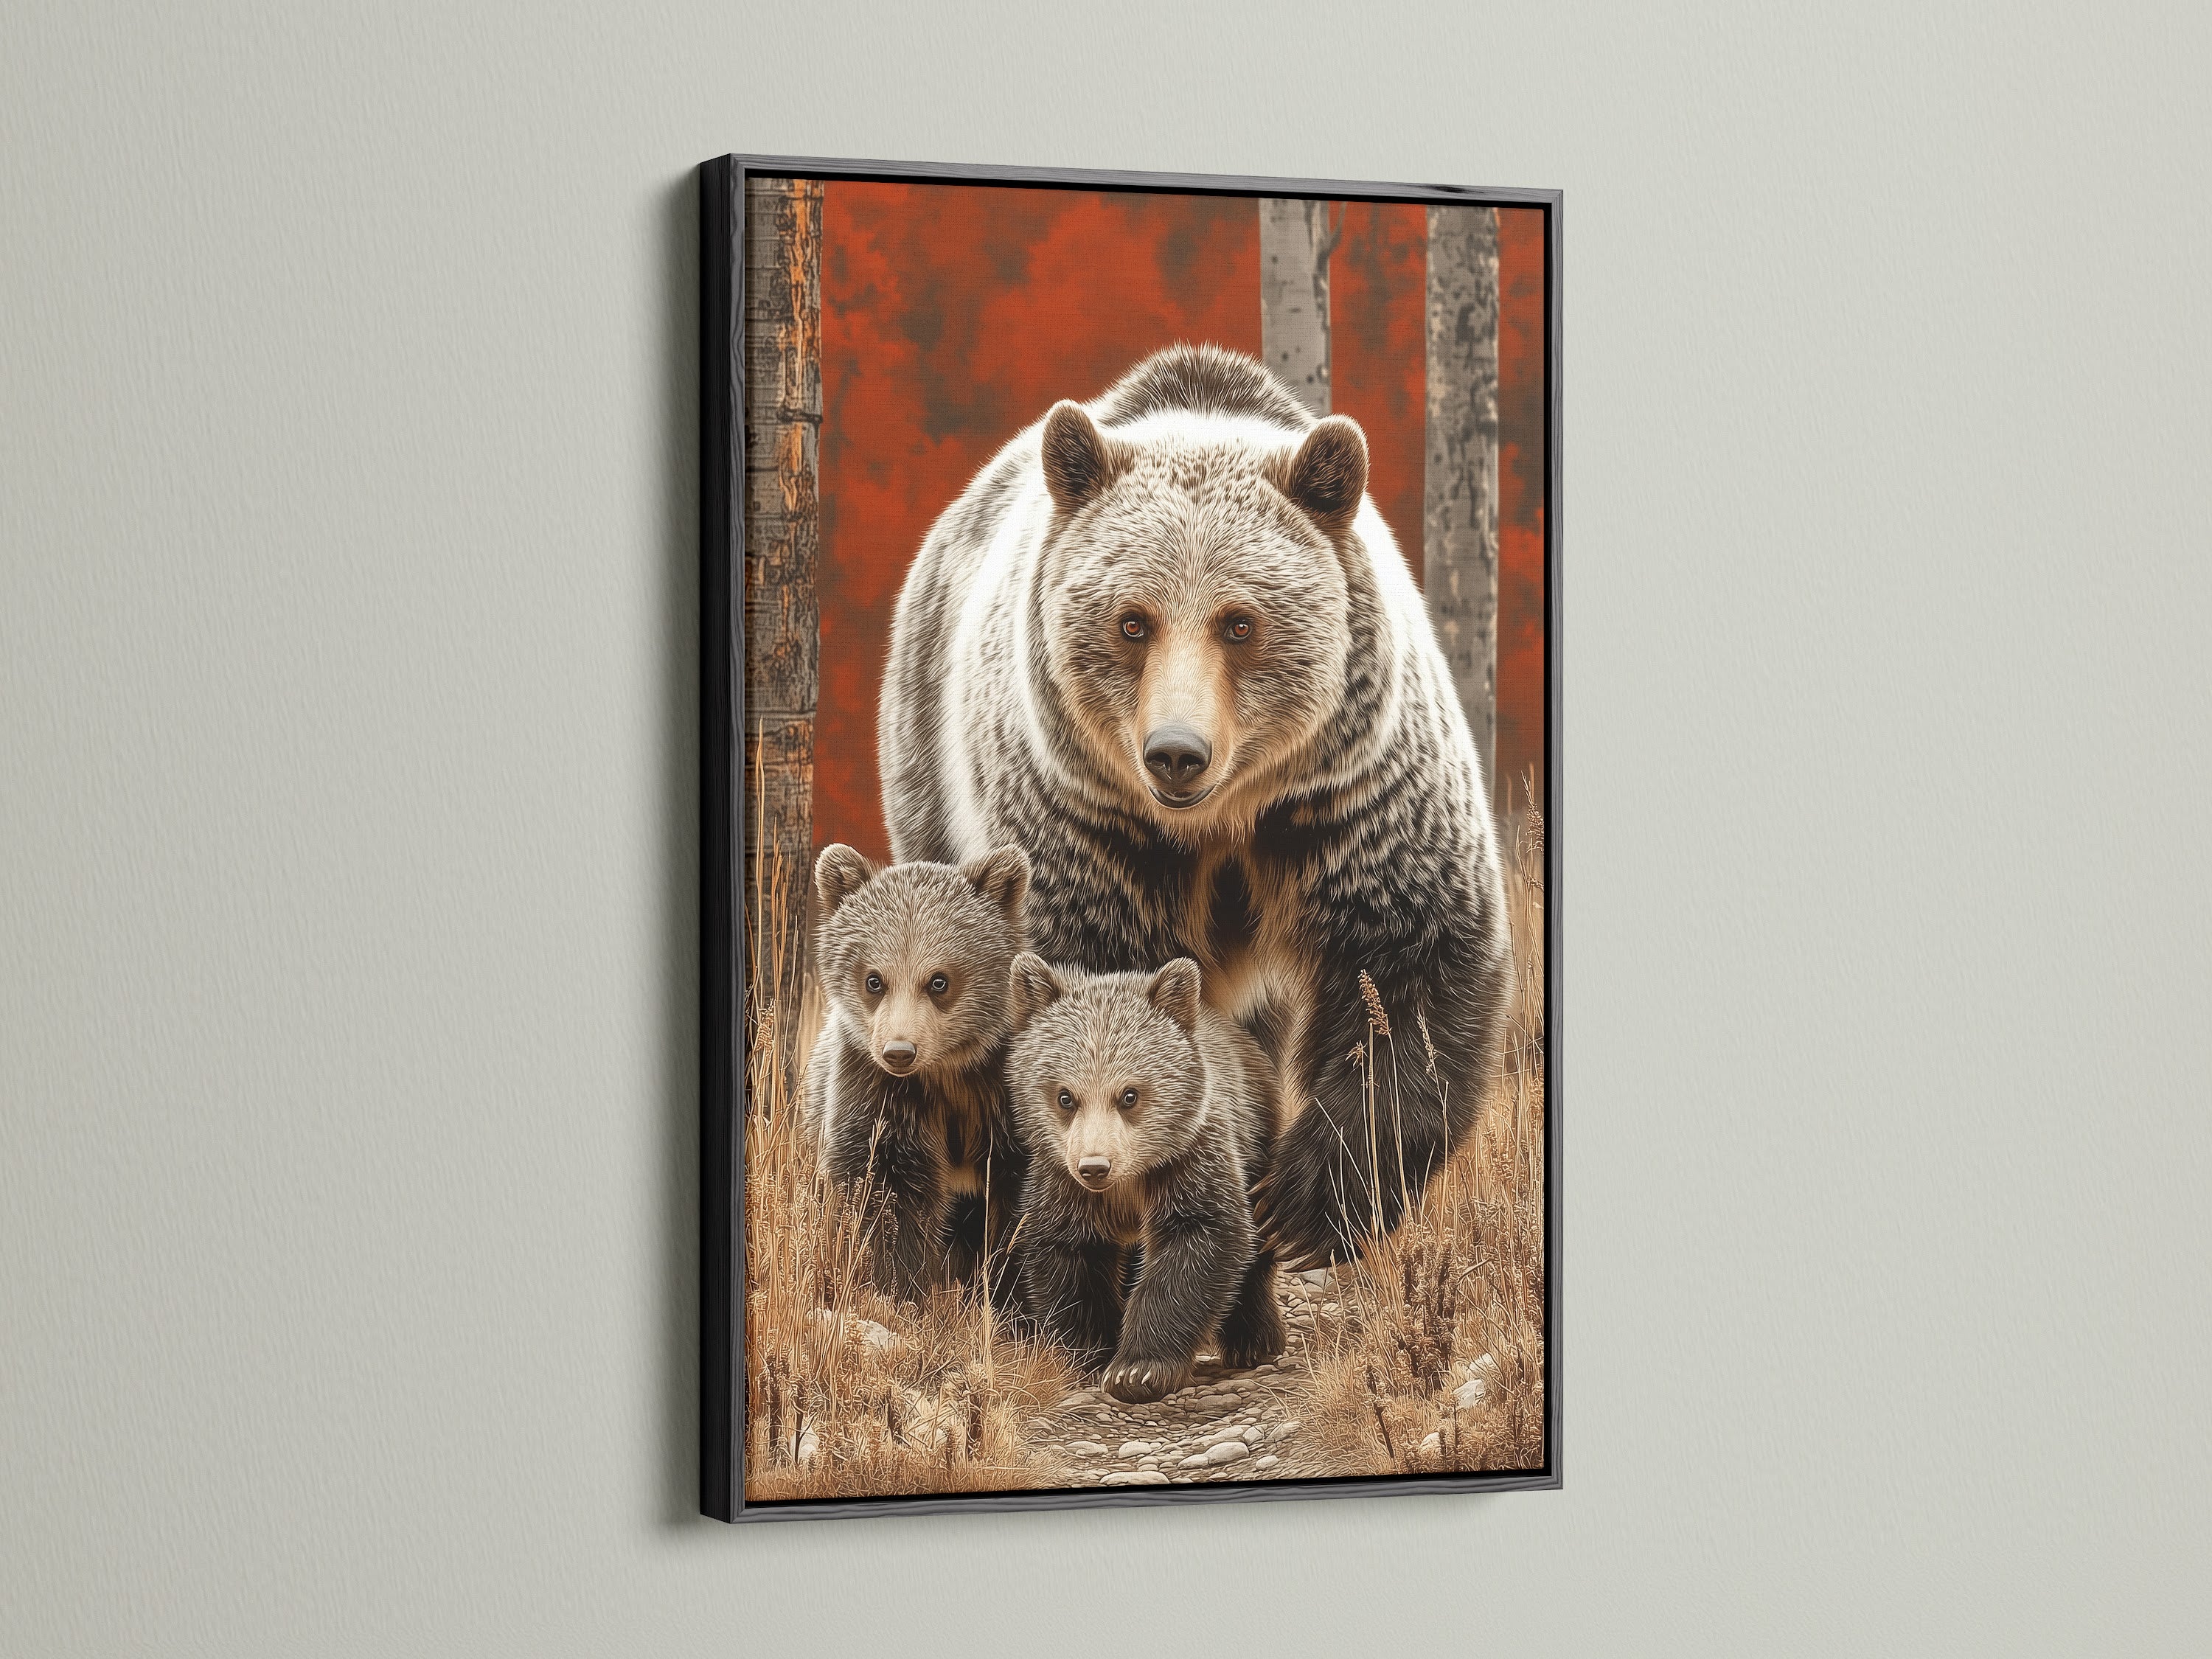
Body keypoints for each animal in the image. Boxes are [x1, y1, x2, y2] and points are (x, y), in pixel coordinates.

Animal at [804, 842, 1032, 1304]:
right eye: (874, 980)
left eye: (939, 981)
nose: (899, 1051)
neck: (948, 1072)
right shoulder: (877, 1093)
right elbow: (884, 1191)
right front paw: (900, 1288)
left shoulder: (1005, 1097)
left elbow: (1019, 1208)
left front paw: (1009, 1297)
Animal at [878, 342, 1513, 1269]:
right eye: (1132, 622)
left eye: (1239, 623)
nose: (1176, 752)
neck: (1217, 824)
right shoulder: (1088, 823)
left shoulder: (1350, 795)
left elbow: (1411, 963)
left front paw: (1302, 1206)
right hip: (931, 769)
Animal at [1004, 951, 1283, 1403]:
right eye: (1065, 1097)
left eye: (1129, 1095)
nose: (1095, 1166)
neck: (1129, 1183)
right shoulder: (1062, 1184)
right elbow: (1069, 1258)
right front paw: (1090, 1356)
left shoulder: (1189, 1162)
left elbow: (1198, 1243)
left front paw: (1138, 1369)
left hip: (1258, 1136)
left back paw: (1253, 1340)